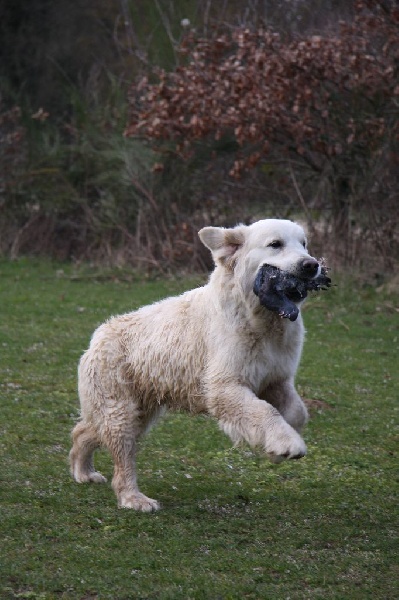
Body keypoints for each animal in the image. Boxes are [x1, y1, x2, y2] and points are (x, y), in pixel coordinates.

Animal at [69, 220, 324, 510]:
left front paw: (276, 445)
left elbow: (296, 412)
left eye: (304, 244)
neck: (261, 318)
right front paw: (286, 443)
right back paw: (133, 498)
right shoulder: (224, 385)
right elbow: (263, 410)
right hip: (119, 405)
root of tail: (97, 336)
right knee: (119, 449)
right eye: (275, 244)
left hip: (139, 407)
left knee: (86, 430)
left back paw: (83, 471)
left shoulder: (276, 378)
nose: (311, 265)